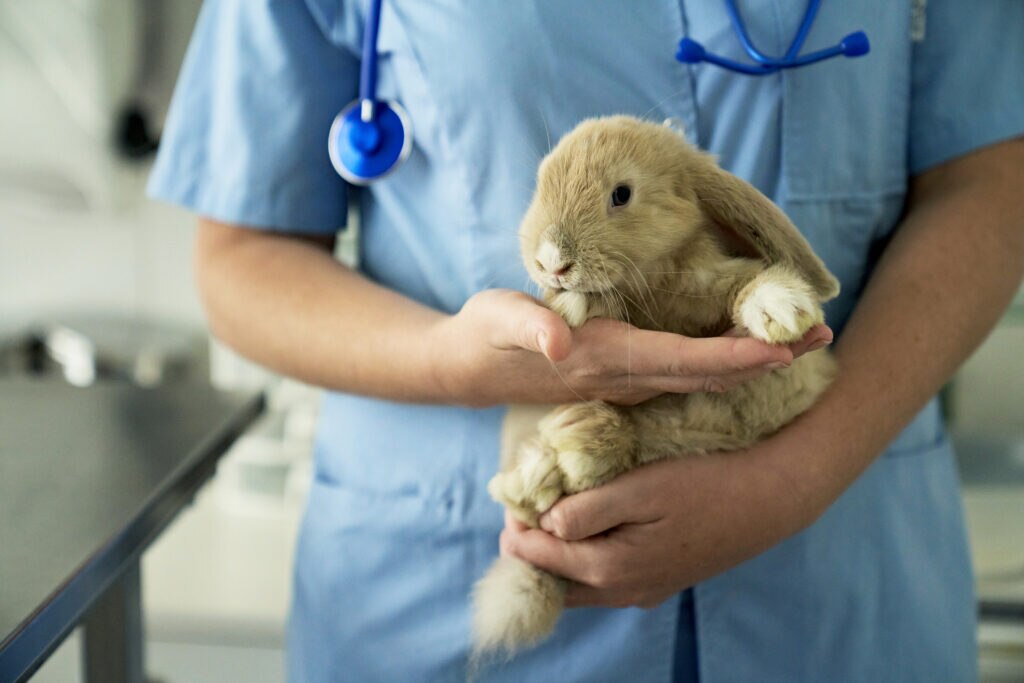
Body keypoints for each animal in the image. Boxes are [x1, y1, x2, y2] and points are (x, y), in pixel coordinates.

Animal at [470, 115, 841, 663]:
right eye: (541, 183)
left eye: (621, 194)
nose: (551, 262)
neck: (655, 286)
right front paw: (569, 305)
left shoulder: (711, 283)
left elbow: (744, 285)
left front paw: (782, 309)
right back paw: (545, 471)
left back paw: (569, 452)